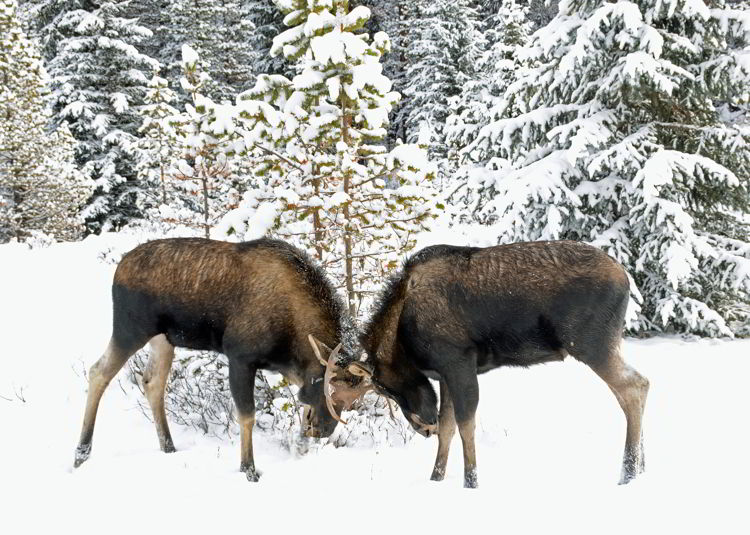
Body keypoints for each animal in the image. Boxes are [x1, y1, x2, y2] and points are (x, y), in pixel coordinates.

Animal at [75, 239, 356, 482]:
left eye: (353, 399)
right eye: (329, 388)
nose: (325, 430)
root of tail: (118, 269)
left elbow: (301, 412)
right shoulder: (240, 357)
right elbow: (247, 416)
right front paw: (249, 470)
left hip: (164, 340)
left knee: (152, 383)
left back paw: (168, 446)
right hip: (130, 330)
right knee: (98, 372)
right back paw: (81, 452)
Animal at [324, 243, 652, 490]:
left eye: (385, 388)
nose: (422, 428)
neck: (402, 331)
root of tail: (626, 278)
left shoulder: (459, 363)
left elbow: (466, 425)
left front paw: (471, 482)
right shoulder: (444, 374)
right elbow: (448, 428)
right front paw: (435, 478)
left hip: (590, 344)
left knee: (634, 386)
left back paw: (628, 473)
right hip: (606, 343)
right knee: (636, 389)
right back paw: (641, 468)